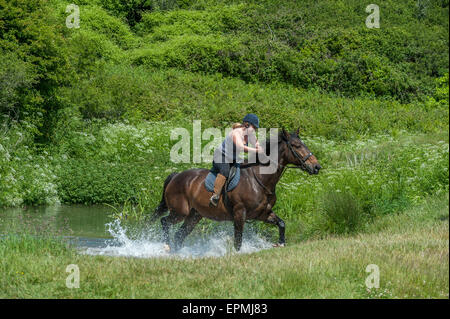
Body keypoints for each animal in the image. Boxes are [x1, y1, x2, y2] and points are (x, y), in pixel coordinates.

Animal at [151, 128, 320, 252]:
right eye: (296, 146)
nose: (317, 167)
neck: (259, 179)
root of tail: (176, 176)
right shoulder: (240, 213)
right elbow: (238, 241)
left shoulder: (263, 213)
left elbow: (282, 223)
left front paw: (280, 244)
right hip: (180, 212)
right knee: (164, 221)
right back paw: (166, 246)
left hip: (194, 215)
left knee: (179, 235)